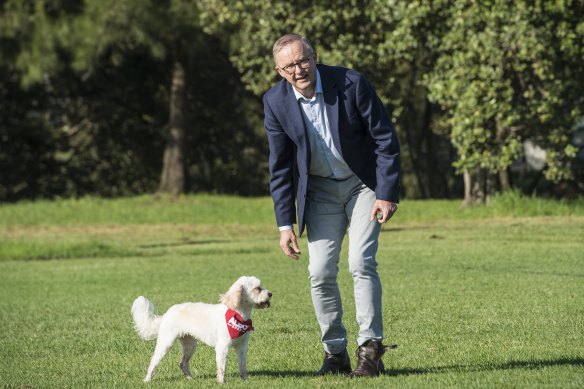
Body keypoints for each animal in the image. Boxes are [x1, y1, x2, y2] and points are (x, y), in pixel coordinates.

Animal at [130, 274, 272, 384]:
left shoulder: (242, 347)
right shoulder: (222, 347)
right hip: (165, 343)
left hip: (190, 345)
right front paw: (221, 382)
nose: (270, 294)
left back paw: (190, 379)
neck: (238, 315)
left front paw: (245, 380)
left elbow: (242, 366)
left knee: (182, 363)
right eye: (257, 288)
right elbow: (222, 367)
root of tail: (168, 312)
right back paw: (147, 380)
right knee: (153, 361)